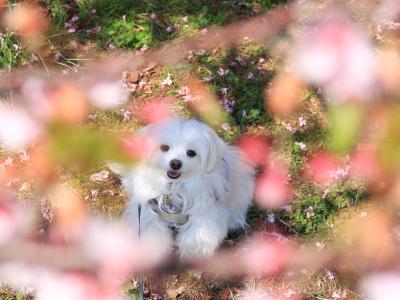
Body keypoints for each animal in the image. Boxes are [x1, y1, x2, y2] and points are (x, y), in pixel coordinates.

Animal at [109, 116, 253, 262]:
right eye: (164, 147)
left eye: (191, 153)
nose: (175, 163)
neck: (173, 187)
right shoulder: (149, 212)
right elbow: (153, 235)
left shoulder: (204, 213)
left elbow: (197, 237)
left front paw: (193, 256)